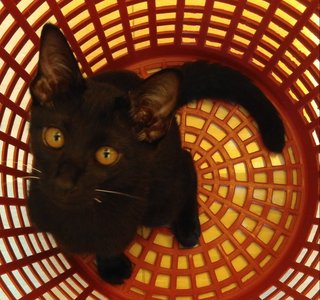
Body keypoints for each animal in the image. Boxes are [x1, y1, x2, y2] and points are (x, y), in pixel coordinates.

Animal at [26, 24, 284, 284]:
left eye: (106, 155)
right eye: (55, 137)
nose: (64, 182)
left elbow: (110, 246)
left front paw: (111, 267)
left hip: (161, 198)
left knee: (186, 165)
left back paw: (188, 227)